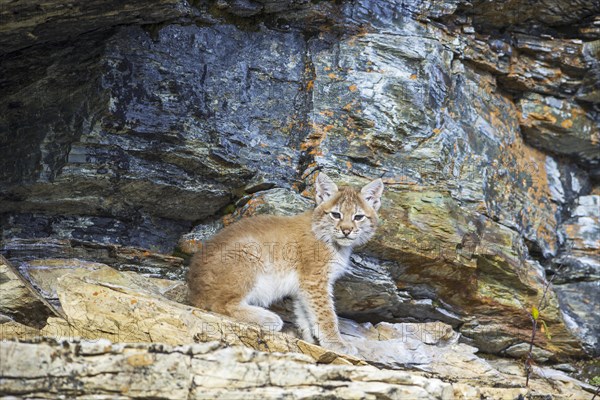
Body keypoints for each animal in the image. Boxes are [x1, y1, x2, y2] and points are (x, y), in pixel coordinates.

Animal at [189, 172, 384, 354]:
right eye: (336, 215)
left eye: (358, 217)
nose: (346, 230)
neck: (335, 243)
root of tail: (191, 288)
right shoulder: (315, 280)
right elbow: (326, 314)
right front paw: (336, 343)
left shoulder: (304, 286)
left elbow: (306, 313)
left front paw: (312, 339)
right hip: (250, 251)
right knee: (219, 305)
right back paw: (268, 318)